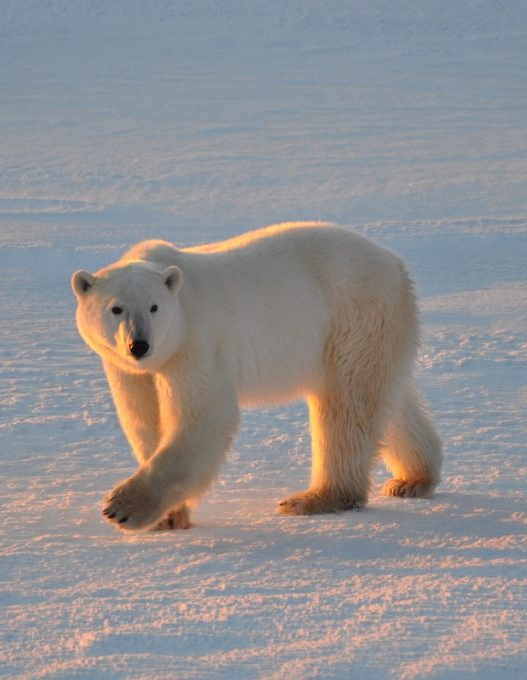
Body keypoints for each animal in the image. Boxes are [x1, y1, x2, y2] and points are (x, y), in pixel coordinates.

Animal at [71, 222, 442, 531]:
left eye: (154, 307)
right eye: (116, 308)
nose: (139, 345)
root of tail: (396, 265)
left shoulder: (196, 342)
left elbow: (205, 415)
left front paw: (121, 508)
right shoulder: (126, 368)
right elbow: (144, 419)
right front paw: (169, 517)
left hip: (352, 316)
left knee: (347, 408)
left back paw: (314, 498)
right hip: (374, 331)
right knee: (390, 401)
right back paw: (412, 479)